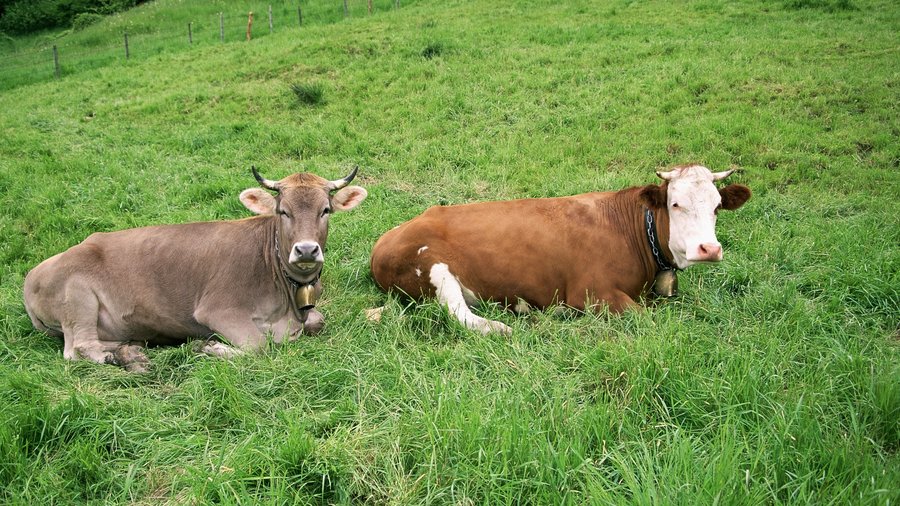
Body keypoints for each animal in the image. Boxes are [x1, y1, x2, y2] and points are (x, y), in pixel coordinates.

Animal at [22, 168, 366, 370]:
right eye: (284, 211)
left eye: (325, 210)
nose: (306, 250)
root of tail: (31, 275)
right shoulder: (218, 310)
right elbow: (259, 346)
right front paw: (211, 348)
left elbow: (316, 321)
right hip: (76, 298)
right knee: (78, 347)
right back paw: (119, 357)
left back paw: (131, 350)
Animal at [370, 164, 748, 334]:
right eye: (675, 204)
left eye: (717, 207)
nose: (709, 249)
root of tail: (384, 239)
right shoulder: (592, 294)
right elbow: (645, 318)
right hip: (434, 267)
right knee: (458, 313)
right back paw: (508, 325)